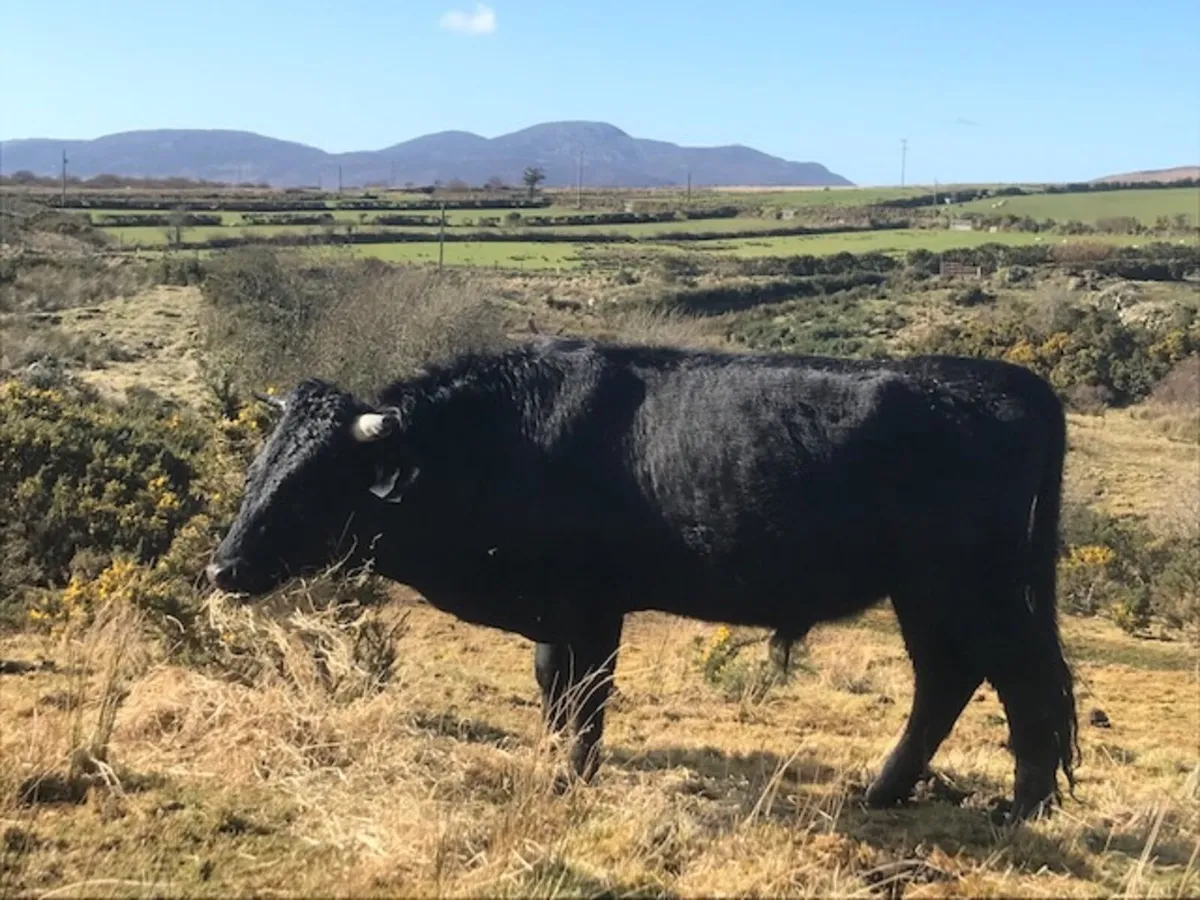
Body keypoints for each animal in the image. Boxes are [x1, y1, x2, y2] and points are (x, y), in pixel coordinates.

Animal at [206, 336, 1079, 821]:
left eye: (314, 482)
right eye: (260, 466)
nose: (222, 566)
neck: (504, 440)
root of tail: (1009, 381)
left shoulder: (592, 610)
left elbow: (587, 700)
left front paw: (573, 778)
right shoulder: (557, 617)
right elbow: (553, 690)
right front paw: (555, 764)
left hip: (974, 587)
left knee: (1021, 679)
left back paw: (1023, 807)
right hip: (926, 594)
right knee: (947, 681)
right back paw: (884, 792)